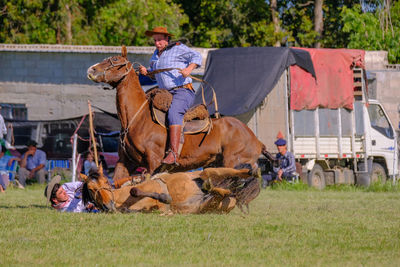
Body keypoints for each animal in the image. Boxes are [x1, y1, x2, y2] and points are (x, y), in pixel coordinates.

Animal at [82, 166, 260, 215]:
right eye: (91, 189)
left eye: (106, 181)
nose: (108, 206)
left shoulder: (151, 187)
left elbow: (135, 191)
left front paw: (165, 197)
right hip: (209, 205)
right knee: (220, 192)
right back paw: (218, 189)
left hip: (212, 170)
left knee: (235, 172)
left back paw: (252, 172)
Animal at [87, 46, 274, 180]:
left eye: (115, 60)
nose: (91, 70)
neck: (136, 119)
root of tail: (257, 140)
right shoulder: (124, 162)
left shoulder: (153, 162)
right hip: (215, 163)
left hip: (234, 162)